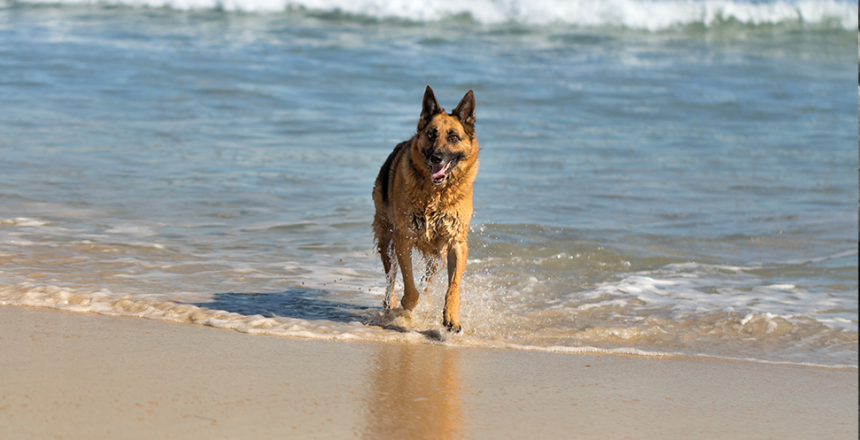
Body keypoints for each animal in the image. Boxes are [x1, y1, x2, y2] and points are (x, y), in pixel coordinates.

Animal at [370, 85, 478, 334]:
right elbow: (409, 286)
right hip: (386, 239)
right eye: (431, 134)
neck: (436, 195)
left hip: (436, 256)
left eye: (454, 137)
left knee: (427, 281)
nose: (436, 157)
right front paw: (406, 305)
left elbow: (453, 285)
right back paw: (391, 305)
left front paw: (451, 317)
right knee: (390, 276)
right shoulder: (403, 239)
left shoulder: (456, 243)